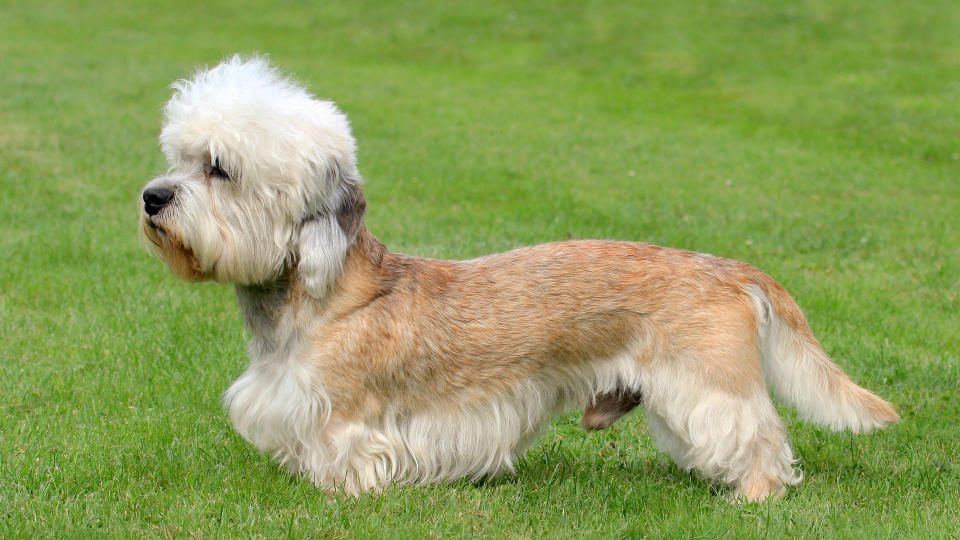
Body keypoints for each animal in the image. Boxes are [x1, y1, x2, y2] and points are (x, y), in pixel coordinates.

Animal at [141, 57, 900, 500]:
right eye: (177, 158)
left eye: (219, 168)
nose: (152, 198)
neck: (314, 299)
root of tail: (731, 269)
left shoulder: (349, 418)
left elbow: (347, 458)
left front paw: (342, 493)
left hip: (709, 387)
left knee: (758, 437)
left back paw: (755, 495)